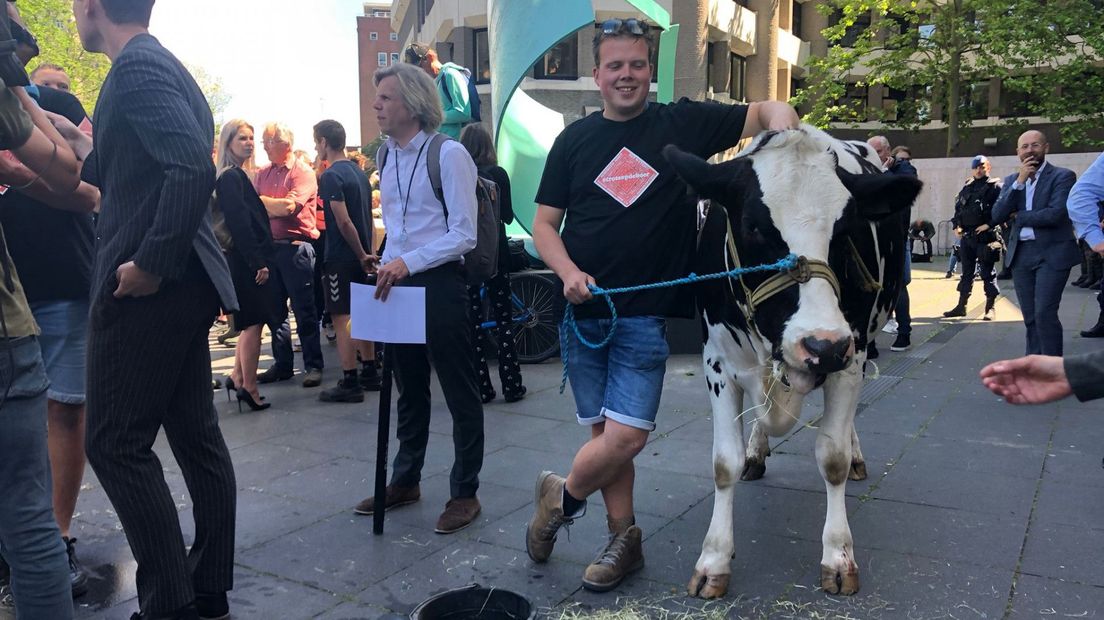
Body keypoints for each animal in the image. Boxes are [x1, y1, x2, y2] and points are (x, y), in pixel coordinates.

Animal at [662, 123, 922, 595]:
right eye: (753, 227)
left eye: (847, 229)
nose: (822, 345)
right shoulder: (717, 364)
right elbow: (723, 463)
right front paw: (713, 560)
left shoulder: (851, 357)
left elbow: (833, 458)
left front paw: (838, 556)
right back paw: (757, 451)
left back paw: (856, 456)